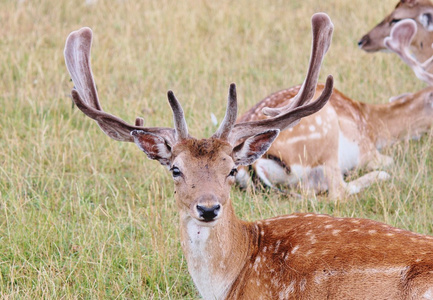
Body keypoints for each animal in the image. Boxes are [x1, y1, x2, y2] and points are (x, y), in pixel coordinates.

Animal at [236, 13, 433, 199]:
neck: (372, 123)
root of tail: (250, 166)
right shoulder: (366, 151)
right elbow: (389, 160)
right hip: (325, 129)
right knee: (338, 192)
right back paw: (377, 176)